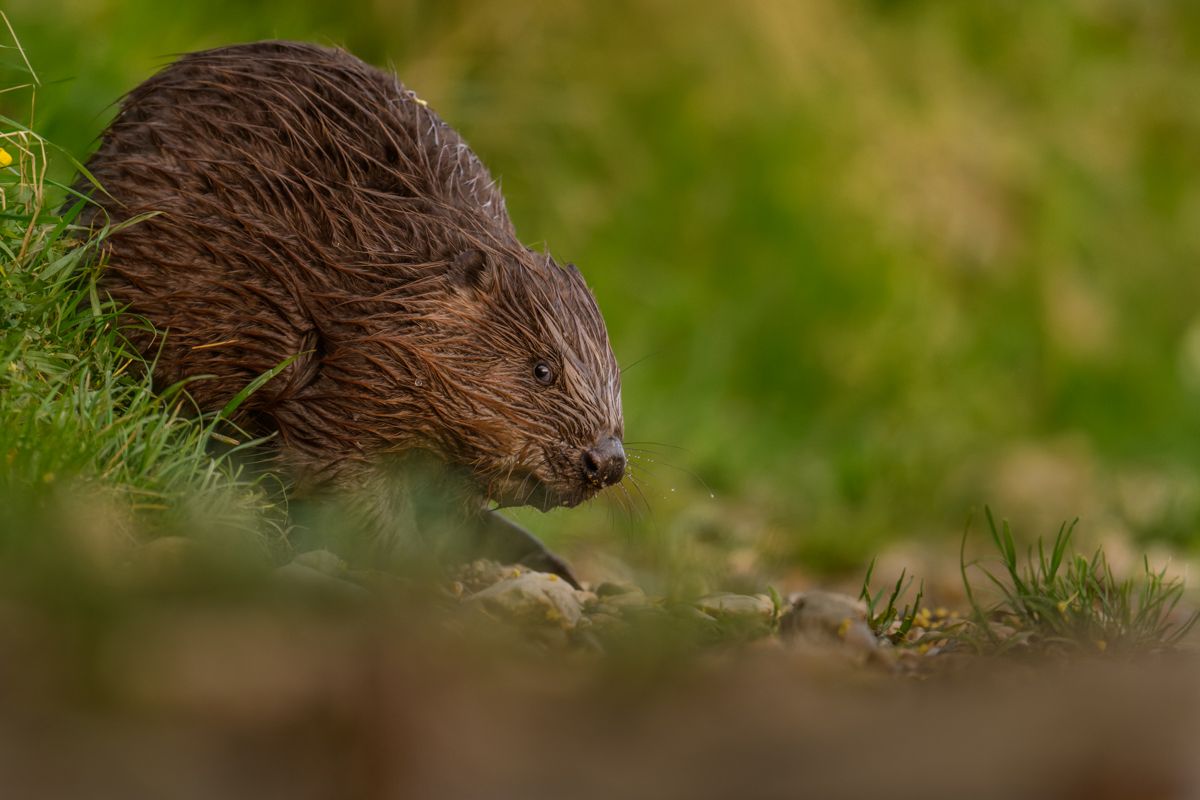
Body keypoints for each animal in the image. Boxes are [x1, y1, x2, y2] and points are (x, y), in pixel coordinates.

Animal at [75, 40, 624, 582]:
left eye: (616, 379)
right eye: (542, 370)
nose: (607, 461)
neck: (386, 282)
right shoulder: (354, 374)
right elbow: (341, 476)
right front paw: (417, 566)